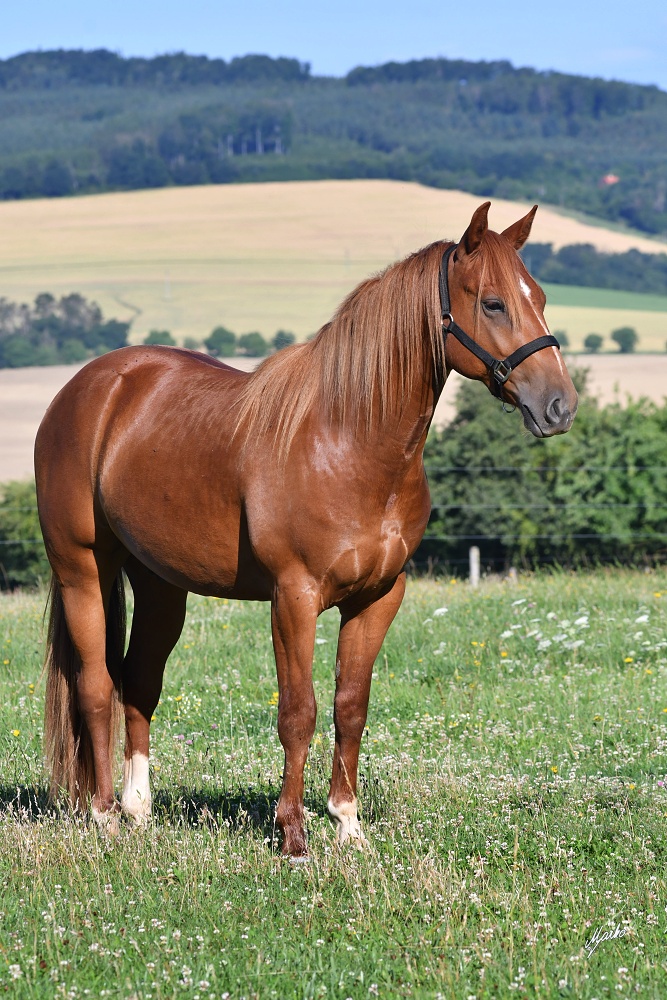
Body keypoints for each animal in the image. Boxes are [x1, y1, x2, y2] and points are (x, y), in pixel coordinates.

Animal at [36, 201, 580, 852]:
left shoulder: (377, 598)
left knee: (139, 681)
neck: (350, 441)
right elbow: (299, 711)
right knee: (95, 686)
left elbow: (351, 705)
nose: (559, 406)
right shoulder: (293, 597)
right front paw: (292, 834)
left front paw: (347, 824)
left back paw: (138, 808)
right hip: (83, 571)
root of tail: (89, 388)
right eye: (494, 303)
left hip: (162, 585)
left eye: (540, 297)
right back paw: (102, 816)